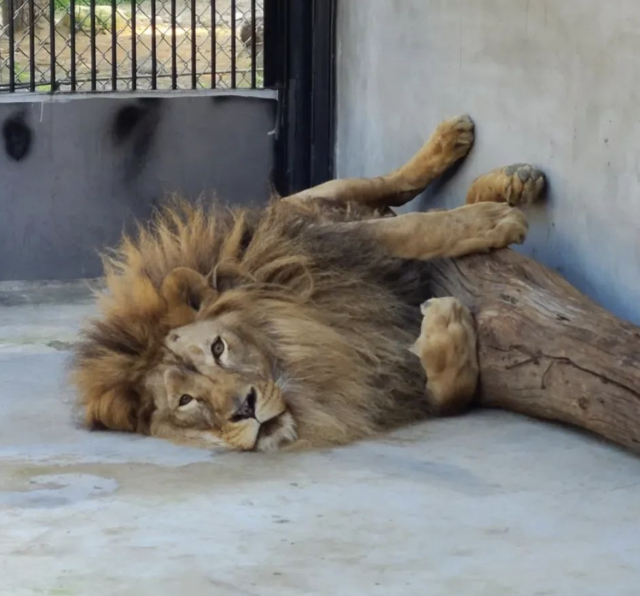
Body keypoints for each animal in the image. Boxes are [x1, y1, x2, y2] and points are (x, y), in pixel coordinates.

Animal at [74, 115, 544, 452]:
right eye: (186, 401)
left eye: (218, 348)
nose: (245, 409)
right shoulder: (390, 382)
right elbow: (452, 392)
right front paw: (447, 322)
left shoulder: (332, 241)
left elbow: (412, 228)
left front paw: (491, 222)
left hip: (315, 199)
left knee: (382, 185)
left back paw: (487, 165)